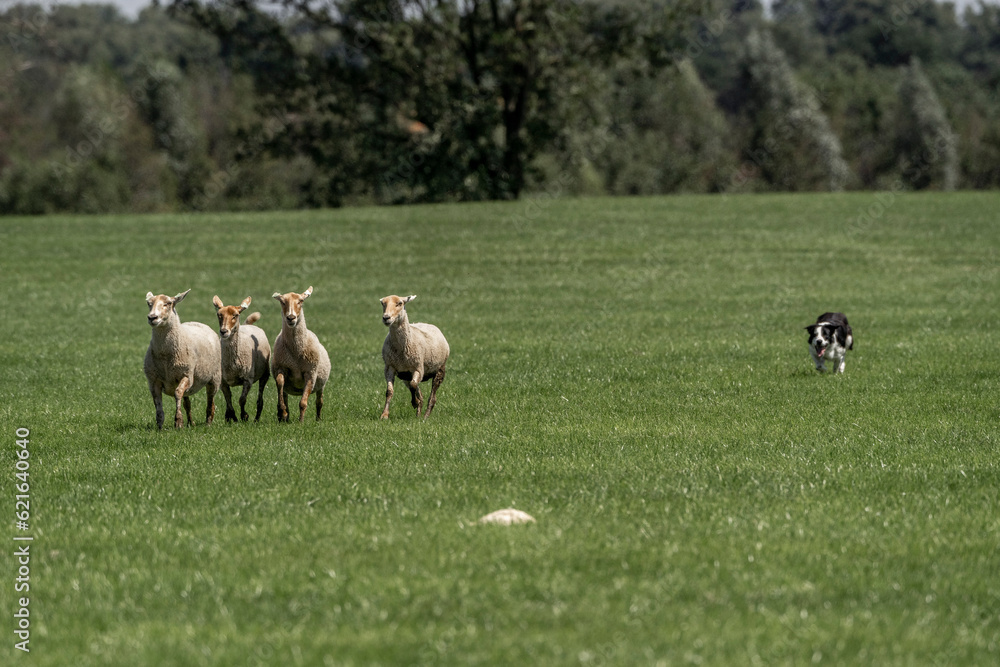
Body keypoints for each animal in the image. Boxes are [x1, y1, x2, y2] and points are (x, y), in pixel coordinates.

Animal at [144, 289, 222, 429]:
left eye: (168, 303)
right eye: (149, 303)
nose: (152, 317)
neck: (165, 355)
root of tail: (197, 322)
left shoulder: (186, 375)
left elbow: (177, 393)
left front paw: (178, 421)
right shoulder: (153, 380)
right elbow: (158, 403)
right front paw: (160, 426)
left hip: (215, 378)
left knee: (211, 402)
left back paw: (208, 423)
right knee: (187, 403)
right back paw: (191, 423)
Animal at [271, 286, 331, 422]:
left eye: (301, 301)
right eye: (283, 302)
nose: (291, 317)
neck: (295, 353)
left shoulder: (310, 373)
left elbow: (303, 402)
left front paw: (301, 421)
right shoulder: (281, 367)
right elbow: (280, 383)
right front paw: (282, 411)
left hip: (321, 384)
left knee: (319, 402)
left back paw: (318, 419)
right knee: (285, 396)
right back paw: (284, 417)